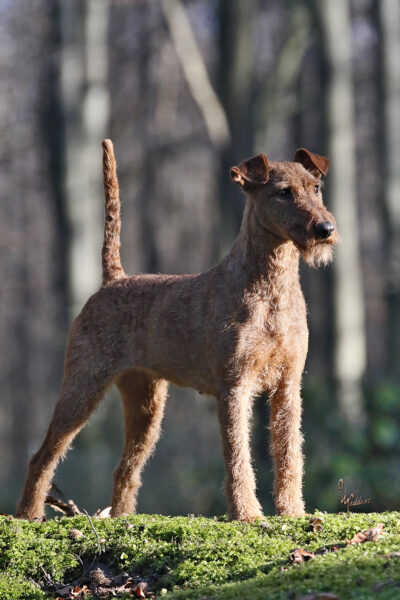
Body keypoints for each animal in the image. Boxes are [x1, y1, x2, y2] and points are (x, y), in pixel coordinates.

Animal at [18, 139, 338, 520]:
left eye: (316, 188)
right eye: (283, 192)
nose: (325, 229)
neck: (272, 284)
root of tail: (114, 279)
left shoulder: (288, 385)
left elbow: (290, 452)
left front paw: (292, 511)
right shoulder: (235, 386)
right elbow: (238, 457)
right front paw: (247, 514)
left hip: (146, 403)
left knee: (125, 468)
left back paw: (122, 516)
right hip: (83, 386)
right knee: (42, 456)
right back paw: (28, 514)